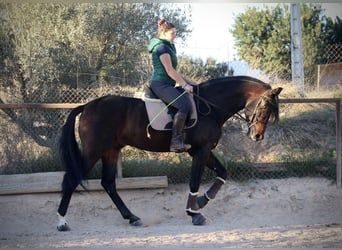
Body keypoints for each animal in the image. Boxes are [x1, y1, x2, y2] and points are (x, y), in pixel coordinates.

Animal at [55, 74, 280, 230]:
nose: (257, 136)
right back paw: (61, 222)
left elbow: (222, 173)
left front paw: (201, 201)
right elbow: (194, 181)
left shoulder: (203, 151)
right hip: (93, 152)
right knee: (72, 180)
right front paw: (194, 213)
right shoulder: (200, 151)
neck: (210, 107)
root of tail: (87, 106)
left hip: (110, 151)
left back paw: (132, 217)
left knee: (108, 183)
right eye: (264, 108)